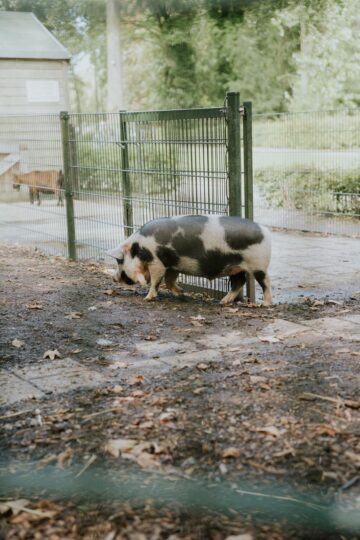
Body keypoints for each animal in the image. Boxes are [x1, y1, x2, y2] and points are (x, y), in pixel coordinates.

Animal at [108, 216, 272, 308]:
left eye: (119, 261)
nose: (114, 278)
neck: (140, 248)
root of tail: (265, 231)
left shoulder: (157, 262)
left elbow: (156, 281)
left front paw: (147, 298)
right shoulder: (173, 265)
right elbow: (169, 281)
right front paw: (181, 294)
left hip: (259, 264)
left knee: (265, 283)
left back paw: (265, 304)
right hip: (236, 266)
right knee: (239, 281)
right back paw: (222, 302)